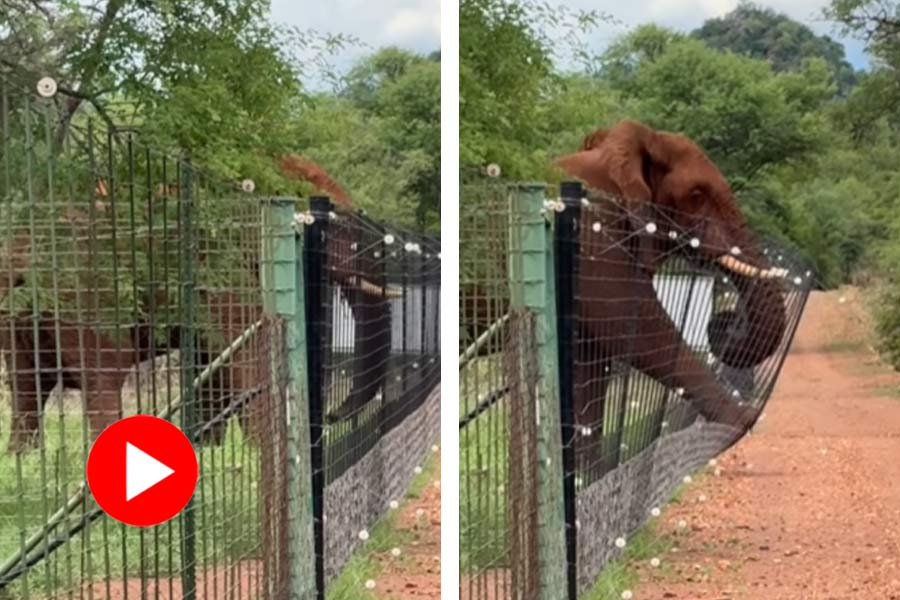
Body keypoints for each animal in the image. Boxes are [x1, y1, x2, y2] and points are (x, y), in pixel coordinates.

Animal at [554, 120, 789, 468]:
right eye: (696, 195)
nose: (723, 321)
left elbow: (592, 370)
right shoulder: (592, 236)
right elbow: (641, 330)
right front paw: (737, 423)